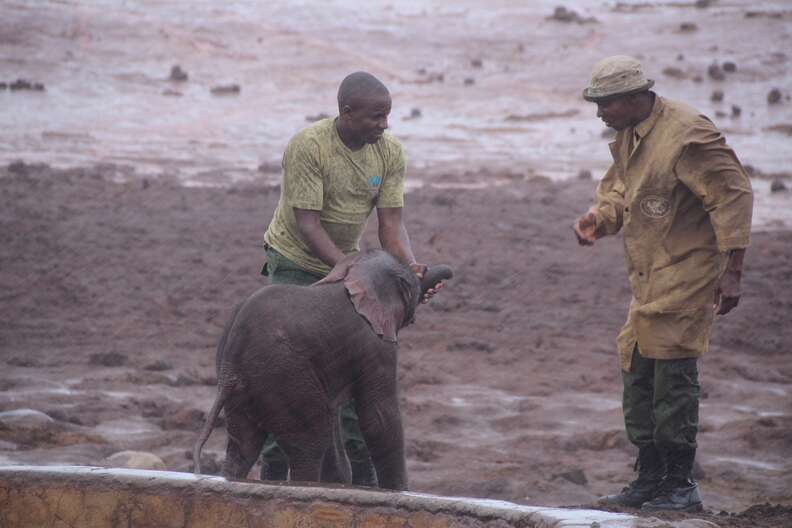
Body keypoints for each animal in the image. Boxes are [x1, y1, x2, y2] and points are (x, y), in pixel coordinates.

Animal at [193, 251, 452, 490]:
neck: (355, 274)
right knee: (310, 442)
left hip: (248, 388)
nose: (432, 274)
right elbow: (379, 417)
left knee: (244, 447)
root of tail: (230, 361)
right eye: (409, 285)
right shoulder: (374, 343)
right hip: (284, 380)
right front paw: (398, 491)